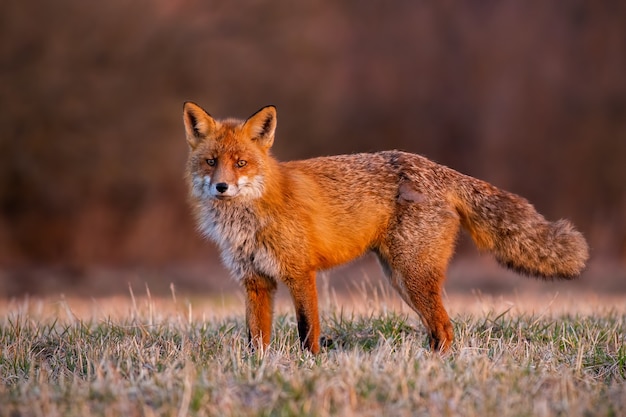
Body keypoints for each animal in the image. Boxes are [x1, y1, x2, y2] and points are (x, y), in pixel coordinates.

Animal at [179, 102, 584, 352]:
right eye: (212, 162)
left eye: (241, 163)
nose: (221, 187)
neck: (248, 220)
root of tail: (436, 167)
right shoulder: (255, 282)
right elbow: (255, 340)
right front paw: (259, 369)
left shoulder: (300, 274)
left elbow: (307, 332)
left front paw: (310, 367)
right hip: (401, 280)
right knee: (439, 329)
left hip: (412, 276)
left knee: (445, 328)